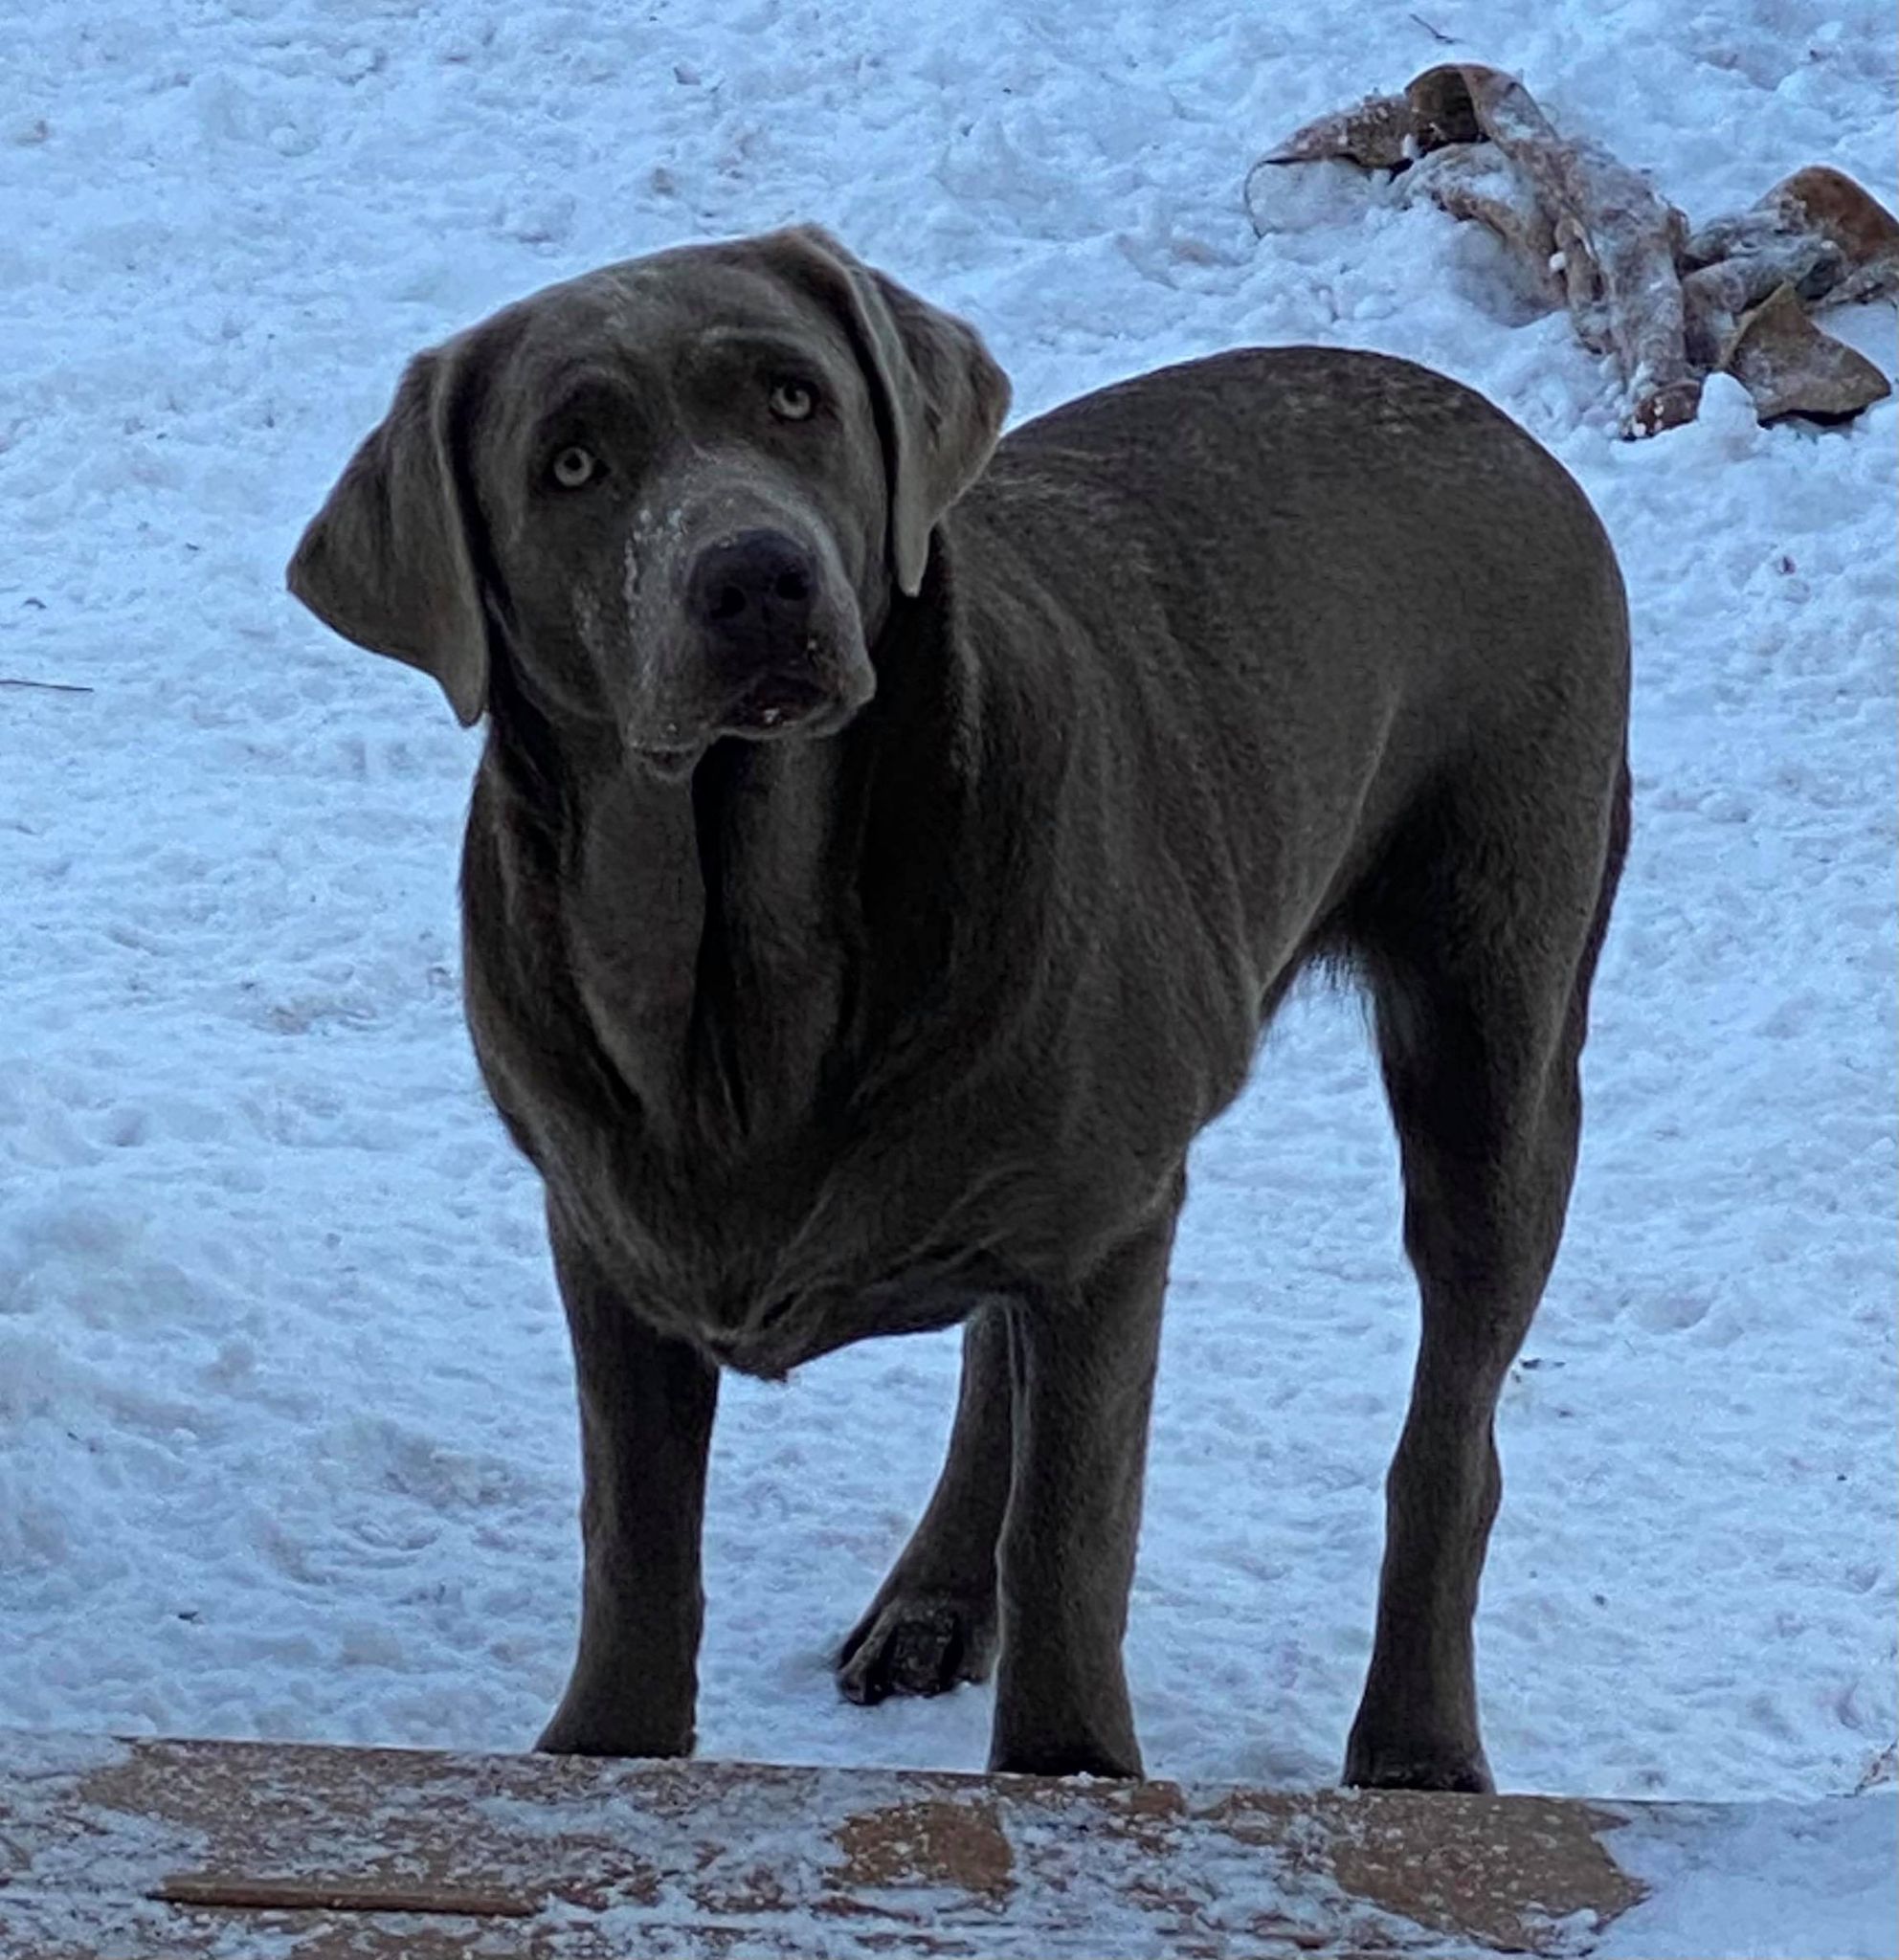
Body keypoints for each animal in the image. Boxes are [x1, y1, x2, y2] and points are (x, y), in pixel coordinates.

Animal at [287, 222, 1622, 1787]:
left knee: (1448, 1432)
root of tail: (1497, 425)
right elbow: (636, 1533)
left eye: (793, 397)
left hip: (1492, 1032)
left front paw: (1069, 1770)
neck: (745, 968)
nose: (756, 578)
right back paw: (932, 1598)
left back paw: (1417, 1745)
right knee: (999, 1347)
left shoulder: (1115, 1232)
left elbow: (1071, 1536)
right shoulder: (604, 1233)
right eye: (568, 463)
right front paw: (608, 1752)